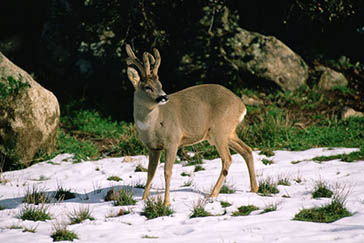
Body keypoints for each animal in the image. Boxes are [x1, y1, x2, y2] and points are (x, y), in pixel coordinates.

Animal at [125, 43, 258, 205]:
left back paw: (213, 194)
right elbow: (150, 172)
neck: (152, 125)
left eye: (160, 84)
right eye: (148, 87)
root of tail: (242, 106)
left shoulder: (173, 140)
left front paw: (166, 202)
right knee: (247, 150)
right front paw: (144, 199)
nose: (164, 97)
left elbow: (167, 171)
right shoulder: (153, 147)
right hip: (227, 132)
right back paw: (254, 189)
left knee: (227, 158)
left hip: (220, 130)